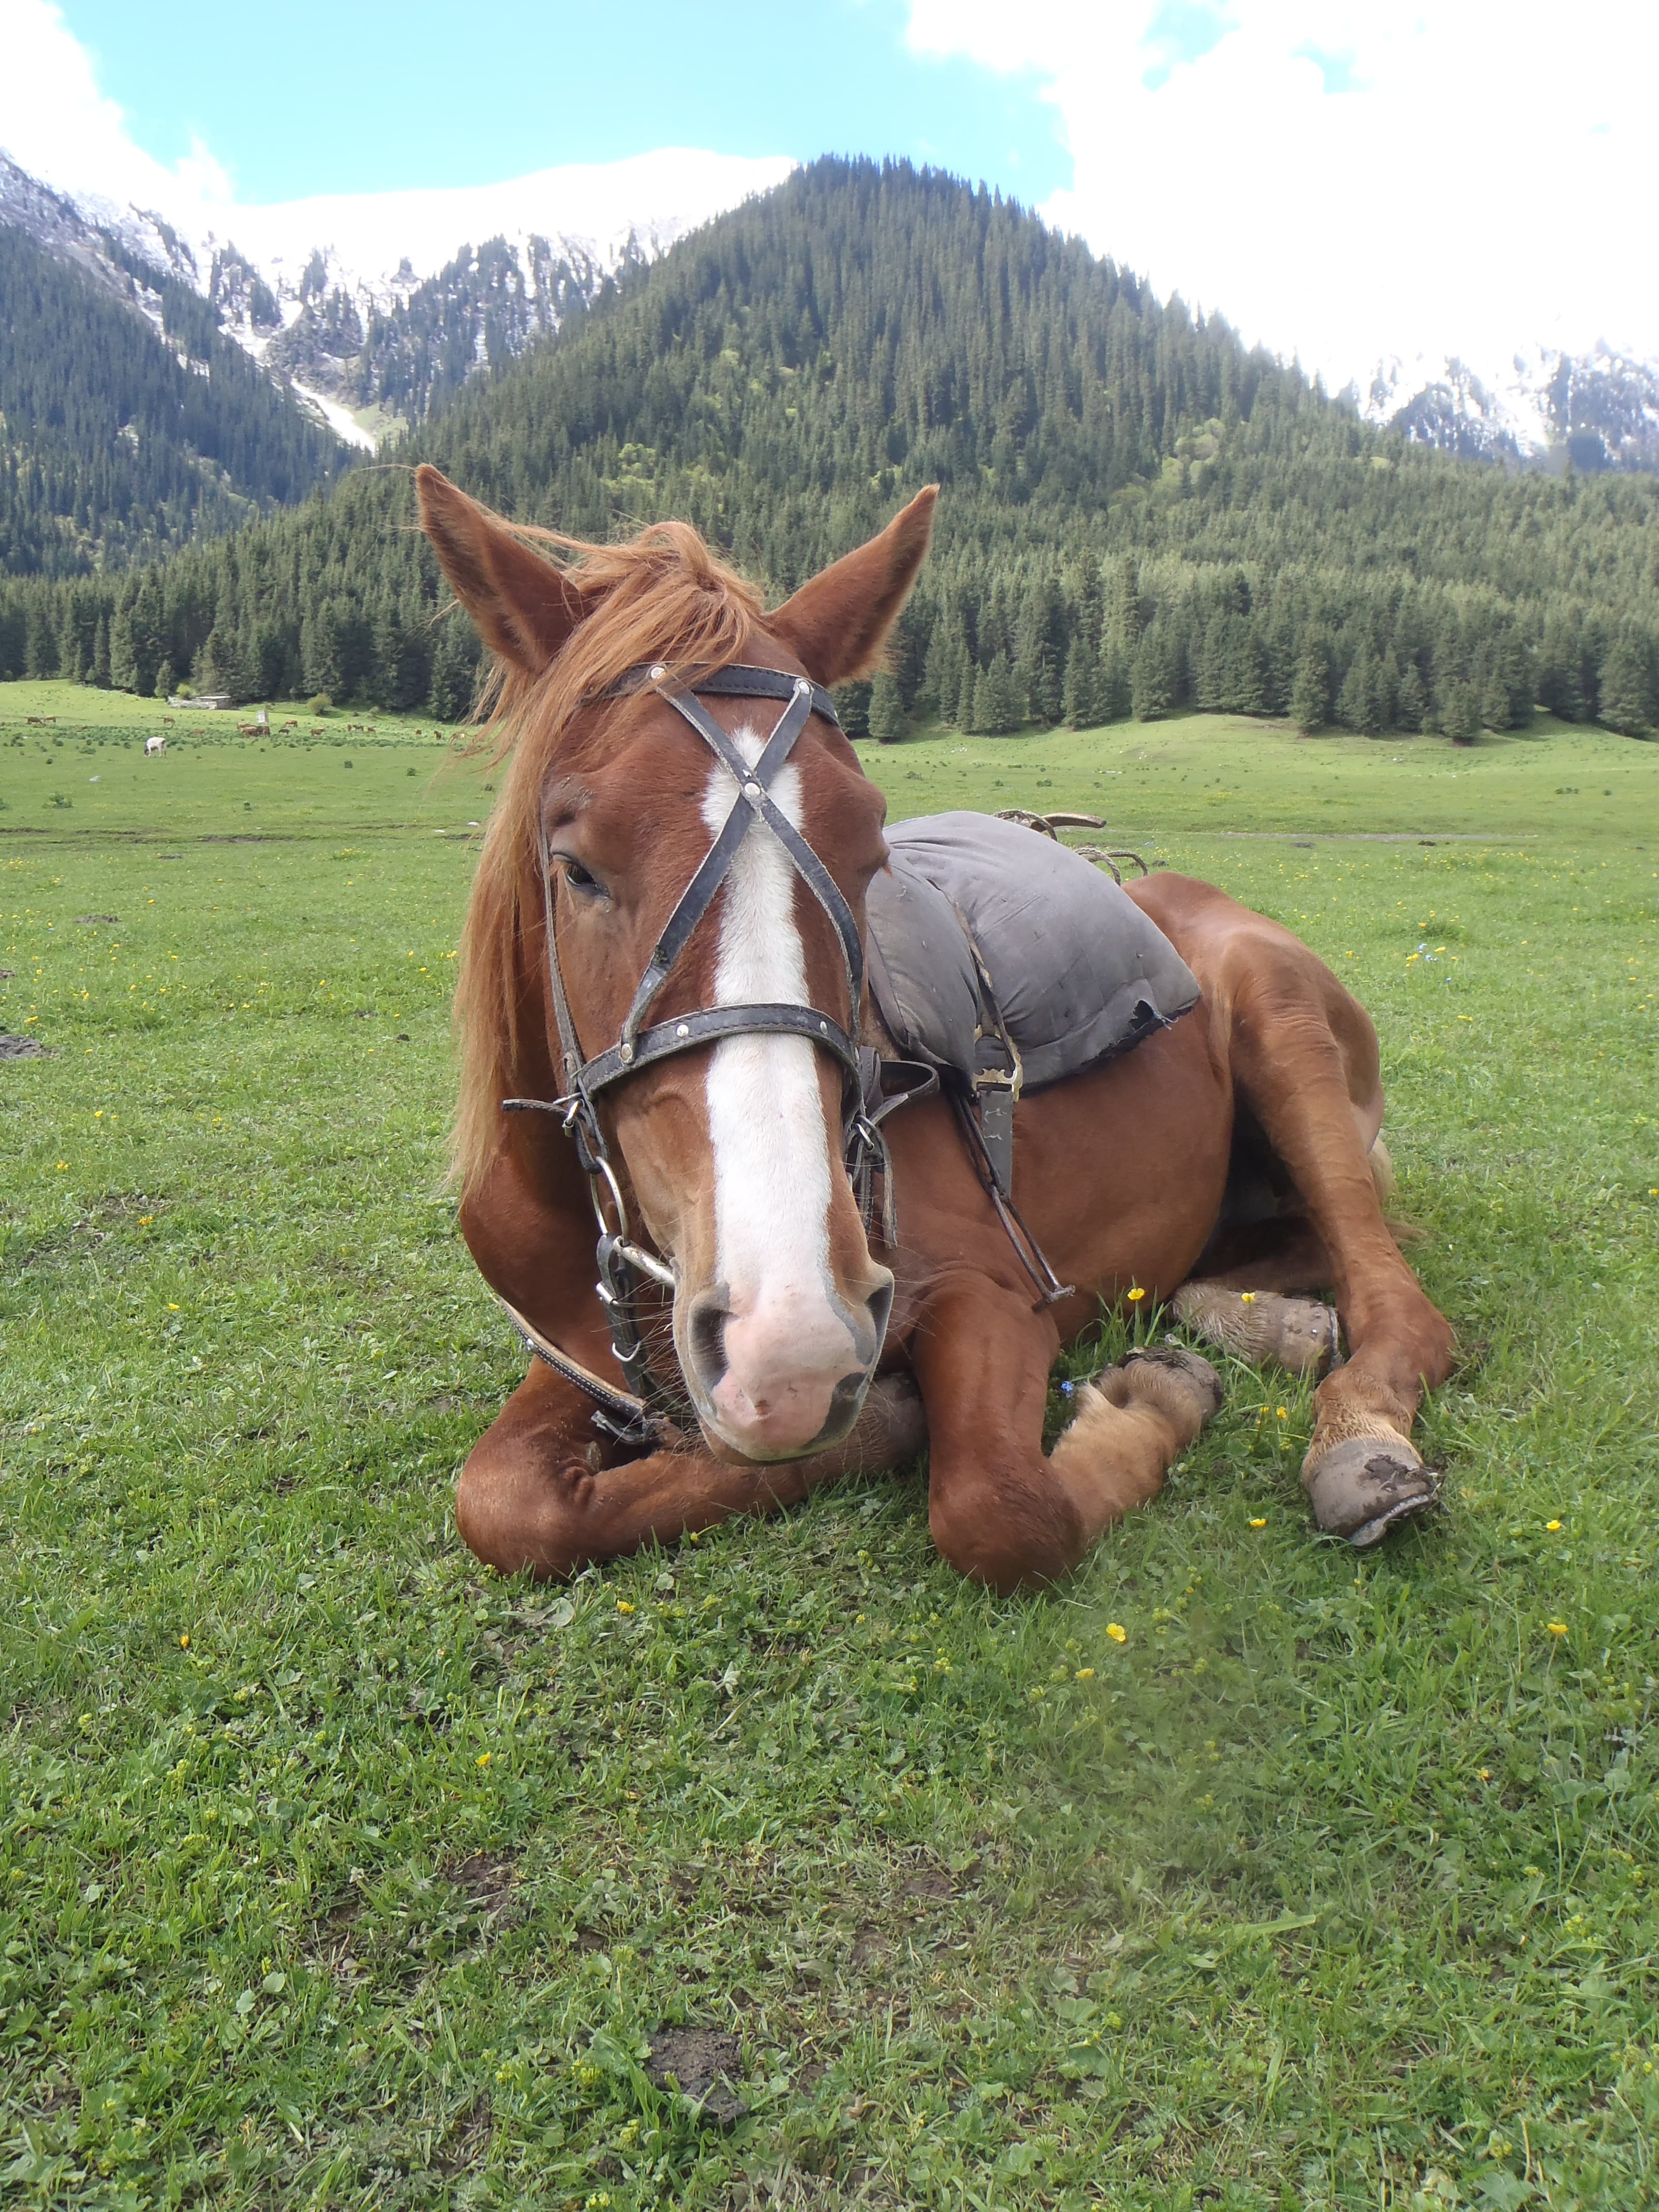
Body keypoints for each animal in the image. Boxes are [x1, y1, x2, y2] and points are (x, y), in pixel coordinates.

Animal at [416, 462, 1451, 1592]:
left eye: (870, 855)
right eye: (575, 866)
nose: (792, 1336)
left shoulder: (989, 1295)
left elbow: (1001, 1510)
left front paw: (1144, 1403)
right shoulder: (585, 1359)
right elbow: (504, 1503)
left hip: (1281, 1023)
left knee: (1397, 1300)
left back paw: (1357, 1438)